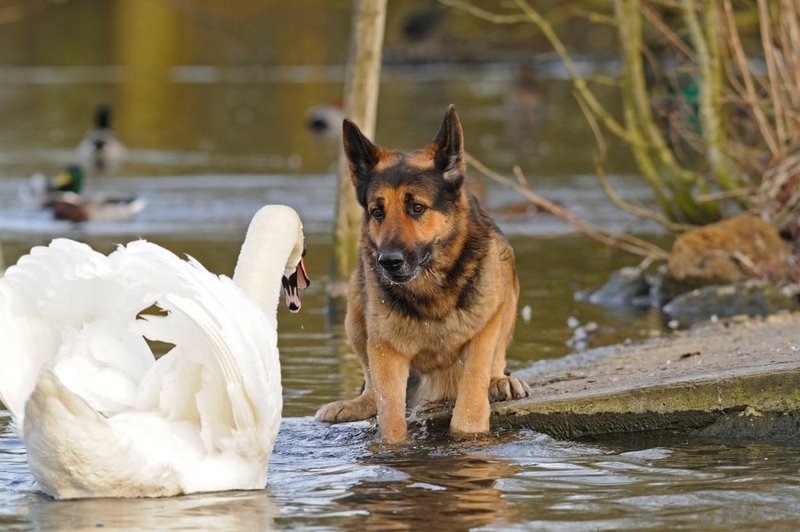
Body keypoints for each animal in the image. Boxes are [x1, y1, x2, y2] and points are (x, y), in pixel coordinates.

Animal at [314, 106, 532, 442]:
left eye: (417, 208)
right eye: (377, 212)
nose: (388, 262)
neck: (430, 292)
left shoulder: (484, 331)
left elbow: (469, 409)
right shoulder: (386, 352)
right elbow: (390, 418)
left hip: (506, 283)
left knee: (496, 362)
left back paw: (500, 381)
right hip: (354, 310)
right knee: (371, 391)